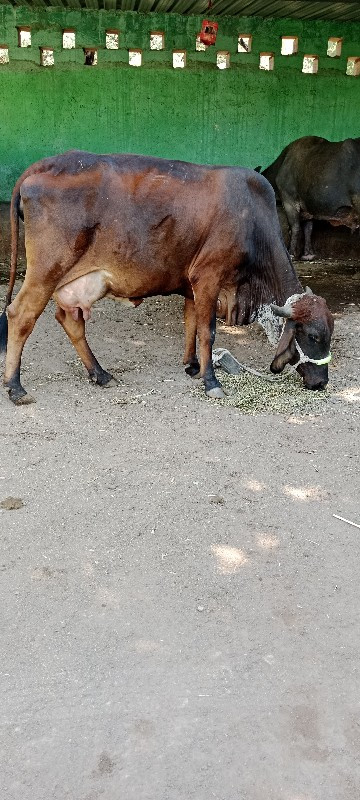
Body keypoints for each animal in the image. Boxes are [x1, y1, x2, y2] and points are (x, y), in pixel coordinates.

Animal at [0, 149, 334, 404]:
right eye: (314, 336)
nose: (321, 382)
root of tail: (52, 162)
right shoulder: (208, 276)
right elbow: (207, 331)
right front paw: (211, 382)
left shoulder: (191, 285)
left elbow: (191, 325)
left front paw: (193, 366)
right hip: (46, 271)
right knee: (20, 315)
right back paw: (16, 387)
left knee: (70, 321)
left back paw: (100, 373)